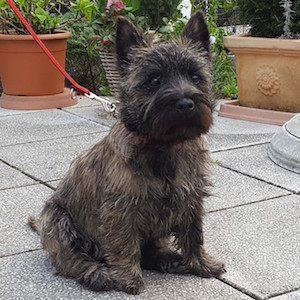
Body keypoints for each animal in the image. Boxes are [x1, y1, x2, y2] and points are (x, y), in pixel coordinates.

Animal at [29, 11, 225, 296]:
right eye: (154, 79)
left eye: (196, 77)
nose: (186, 103)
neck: (164, 146)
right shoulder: (120, 211)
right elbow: (124, 246)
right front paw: (129, 278)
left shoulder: (190, 200)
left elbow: (193, 234)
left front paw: (201, 264)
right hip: (60, 221)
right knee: (71, 260)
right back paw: (97, 274)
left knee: (151, 251)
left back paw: (169, 258)